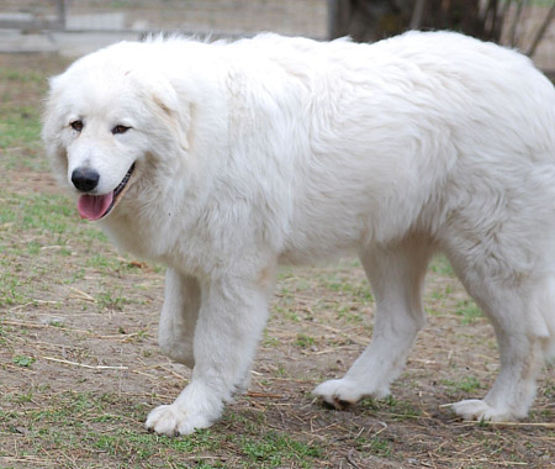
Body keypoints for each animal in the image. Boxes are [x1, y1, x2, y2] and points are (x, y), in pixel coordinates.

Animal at [43, 31, 555, 434]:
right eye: (77, 125)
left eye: (122, 129)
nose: (83, 179)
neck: (203, 132)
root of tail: (535, 81)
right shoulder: (193, 263)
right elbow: (174, 339)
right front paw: (235, 381)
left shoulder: (235, 273)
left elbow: (213, 346)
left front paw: (191, 412)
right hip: (389, 247)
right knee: (404, 320)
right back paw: (353, 389)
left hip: (489, 259)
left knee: (528, 338)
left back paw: (498, 410)